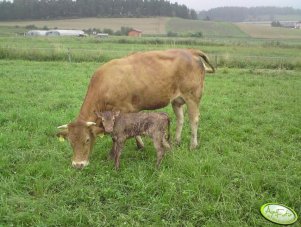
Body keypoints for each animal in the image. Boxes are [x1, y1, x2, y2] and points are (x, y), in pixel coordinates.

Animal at [56, 48, 214, 168]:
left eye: (87, 140)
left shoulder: (124, 110)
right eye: (70, 142)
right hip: (176, 100)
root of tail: (190, 51)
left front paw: (118, 153)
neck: (105, 85)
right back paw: (176, 141)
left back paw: (193, 145)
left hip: (193, 96)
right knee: (180, 119)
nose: (78, 165)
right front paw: (140, 145)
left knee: (194, 119)